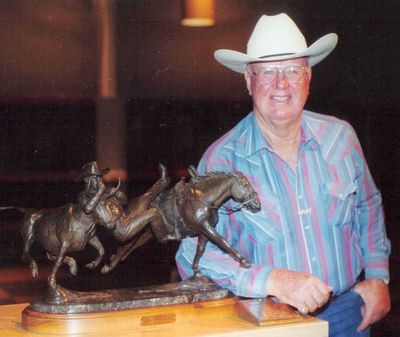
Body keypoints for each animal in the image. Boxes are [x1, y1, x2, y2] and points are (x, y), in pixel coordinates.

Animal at [101, 165, 260, 276]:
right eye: (245, 184)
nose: (257, 204)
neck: (203, 198)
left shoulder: (204, 230)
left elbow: (200, 249)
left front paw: (196, 270)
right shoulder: (206, 227)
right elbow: (222, 241)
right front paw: (244, 261)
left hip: (144, 234)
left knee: (125, 247)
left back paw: (108, 266)